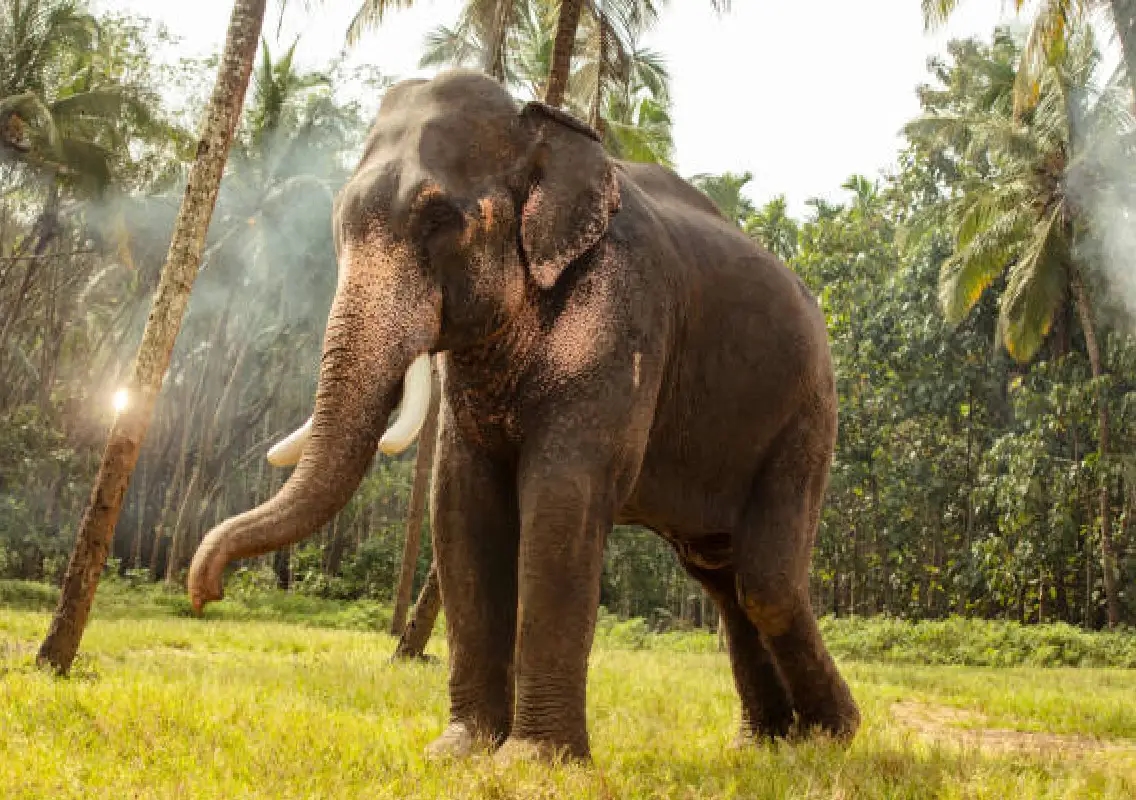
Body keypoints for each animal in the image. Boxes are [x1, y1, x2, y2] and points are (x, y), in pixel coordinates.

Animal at [187, 69, 860, 763]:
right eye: (339, 223)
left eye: (438, 219)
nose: (204, 589)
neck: (538, 125)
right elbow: (459, 500)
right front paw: (458, 751)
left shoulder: (624, 311)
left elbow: (564, 497)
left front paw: (535, 762)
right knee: (720, 577)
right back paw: (765, 745)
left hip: (809, 415)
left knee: (766, 584)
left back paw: (829, 737)